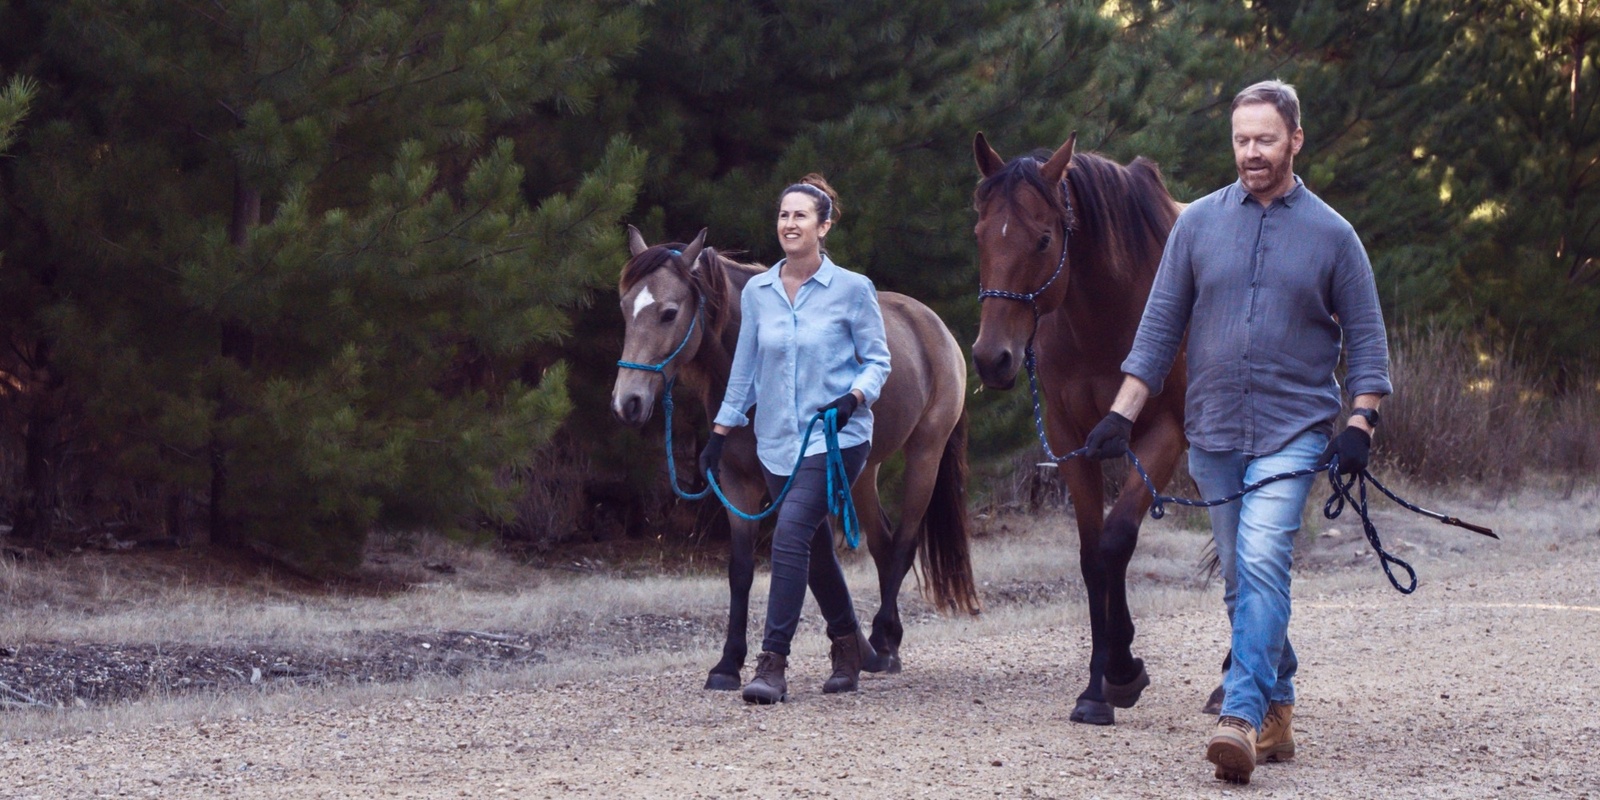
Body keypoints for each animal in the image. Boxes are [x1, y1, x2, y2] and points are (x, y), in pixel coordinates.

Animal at [614, 225, 972, 688]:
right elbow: (743, 571)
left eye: (669, 313)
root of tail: (934, 325)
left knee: (904, 544)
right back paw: (884, 642)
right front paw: (728, 664)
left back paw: (884, 641)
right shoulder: (737, 484)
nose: (628, 402)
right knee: (882, 544)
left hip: (925, 456)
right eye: (626, 308)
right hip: (862, 474)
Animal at [960, 134, 1190, 729]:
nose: (992, 358)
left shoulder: (1163, 437)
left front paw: (1122, 671)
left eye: (1044, 239)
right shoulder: (1073, 444)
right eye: (980, 235)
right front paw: (1098, 685)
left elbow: (1116, 540)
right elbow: (1092, 558)